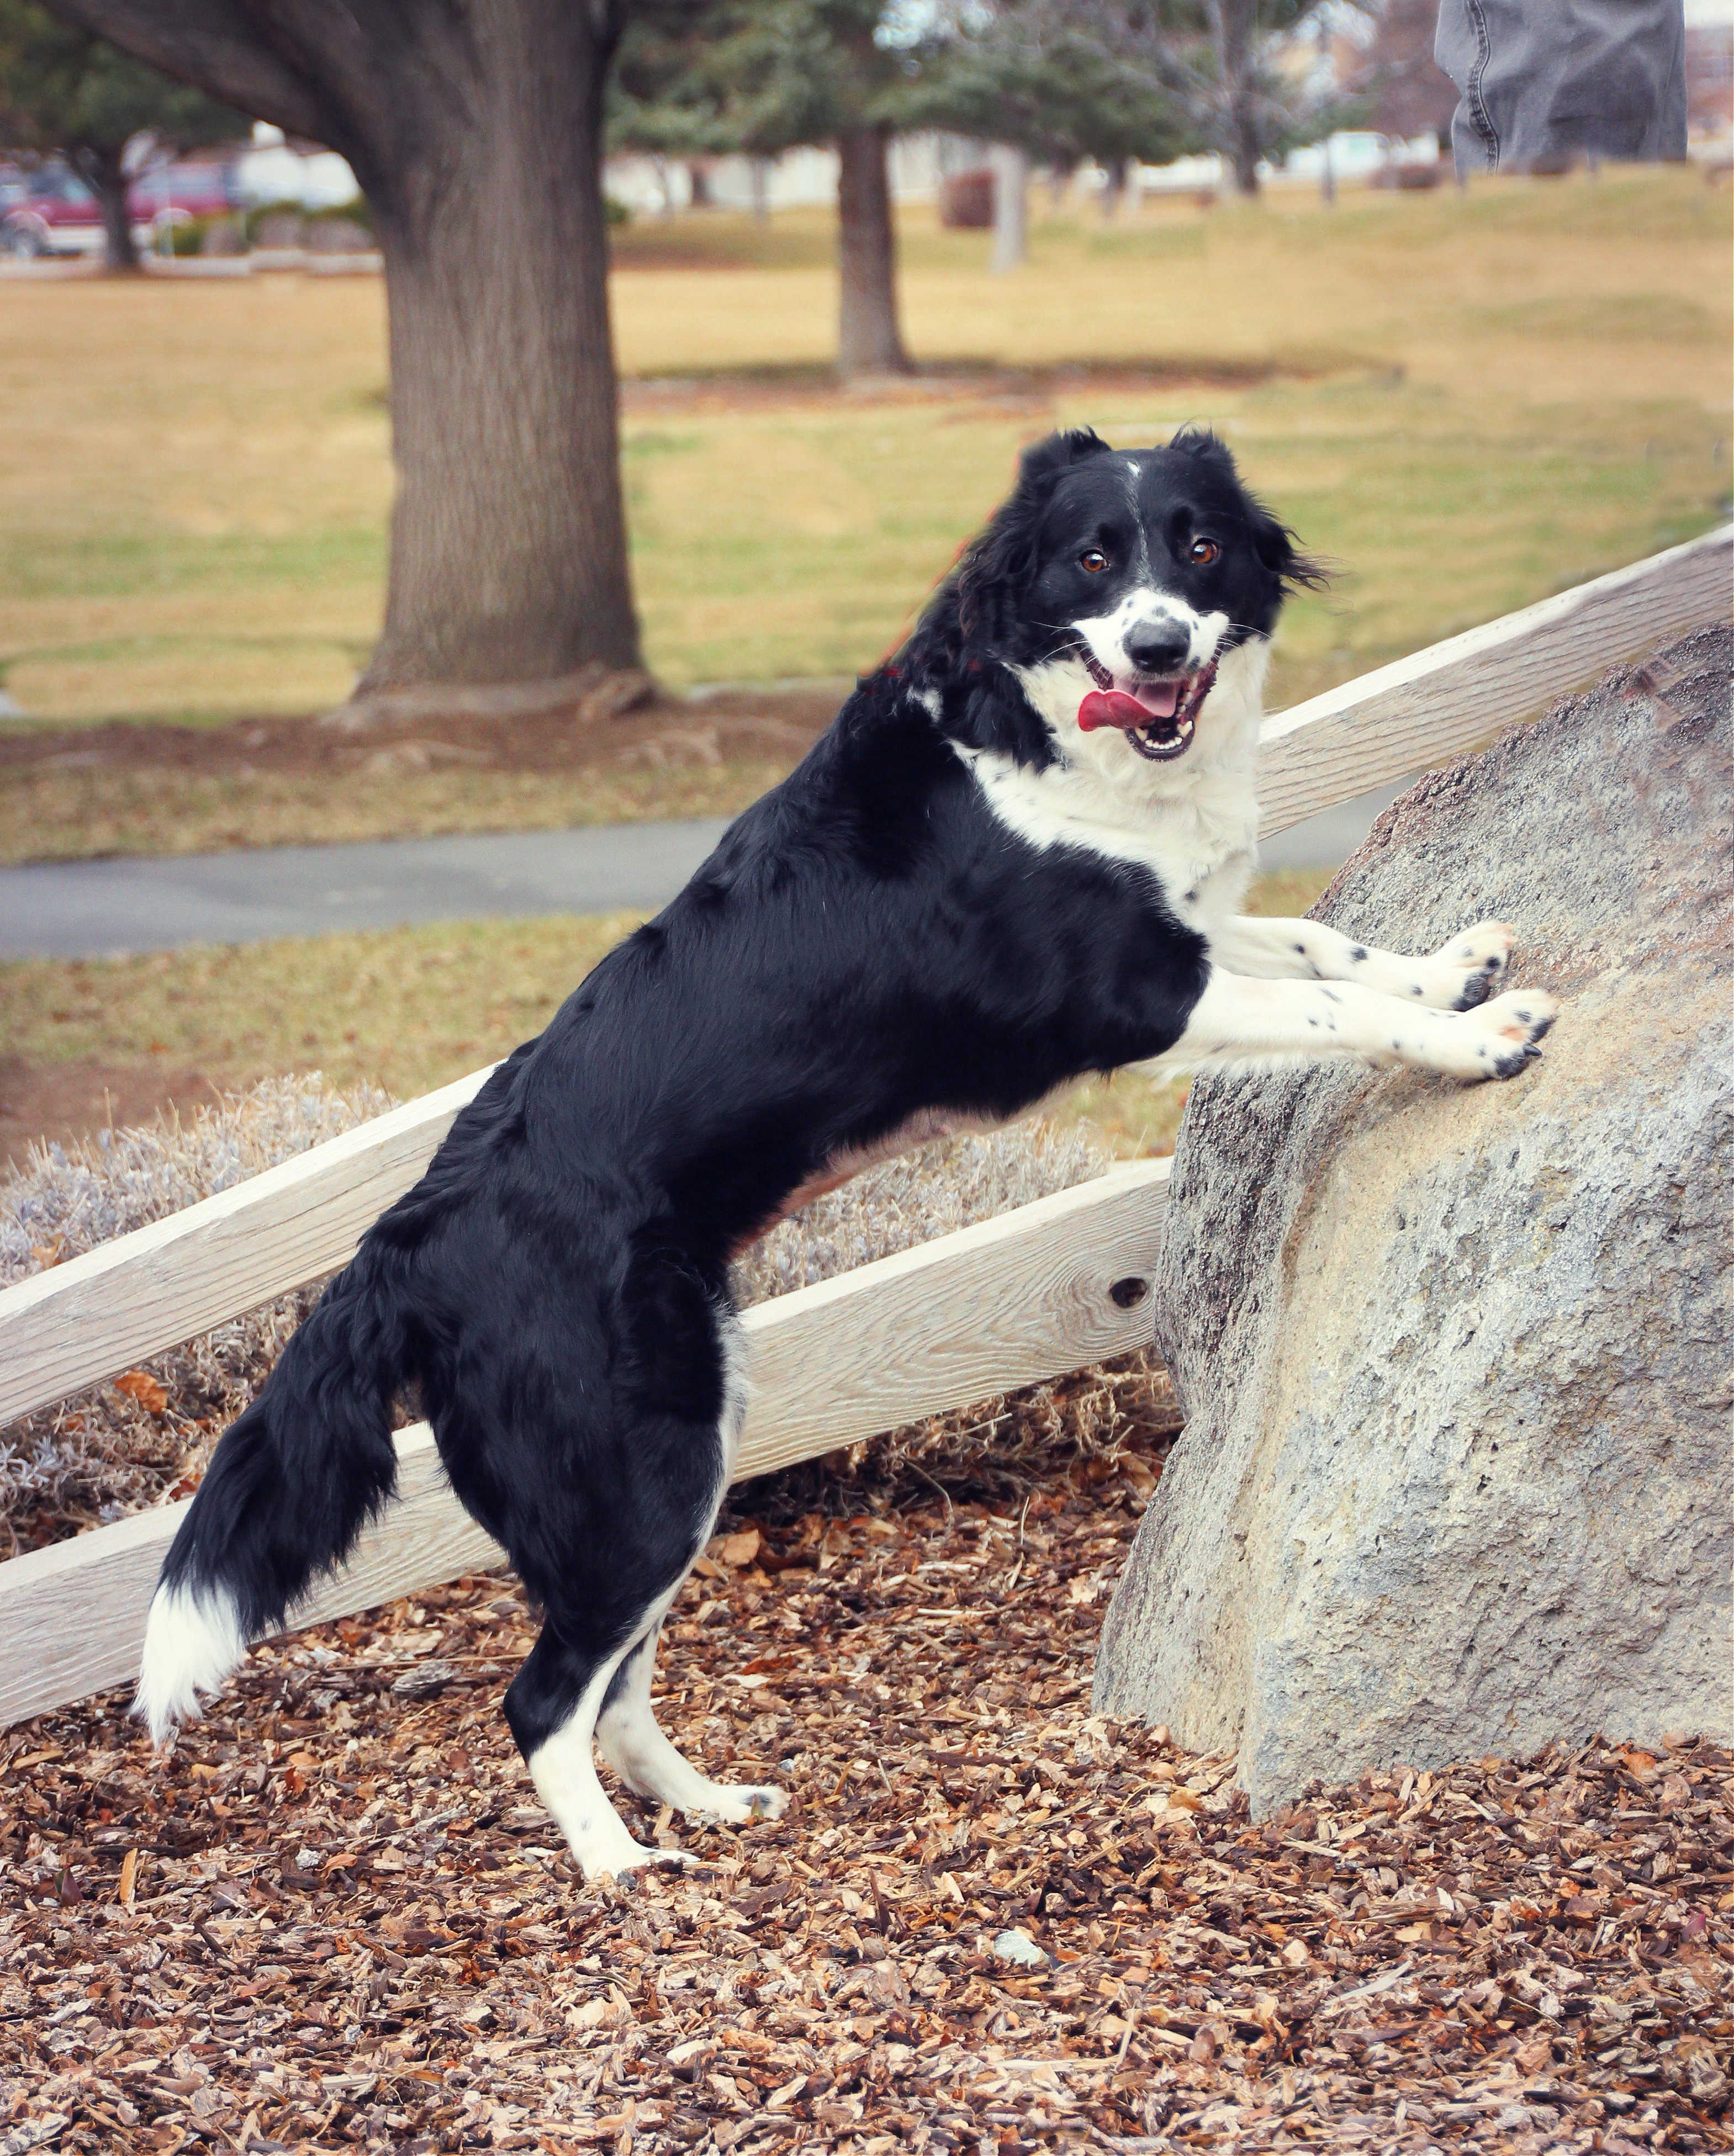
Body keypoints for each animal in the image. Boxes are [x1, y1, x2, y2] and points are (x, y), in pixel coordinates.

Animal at [135, 433, 1561, 1871]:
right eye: (1092, 558)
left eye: (1198, 544)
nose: (1157, 646)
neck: (1043, 728)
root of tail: (406, 1239)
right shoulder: (1134, 990)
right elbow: (1328, 1002)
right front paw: (1474, 1034)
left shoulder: (1183, 930)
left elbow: (1326, 945)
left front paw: (1451, 965)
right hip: (637, 1467)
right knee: (541, 1694)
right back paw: (620, 1866)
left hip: (686, 1448)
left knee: (617, 1682)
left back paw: (705, 1803)